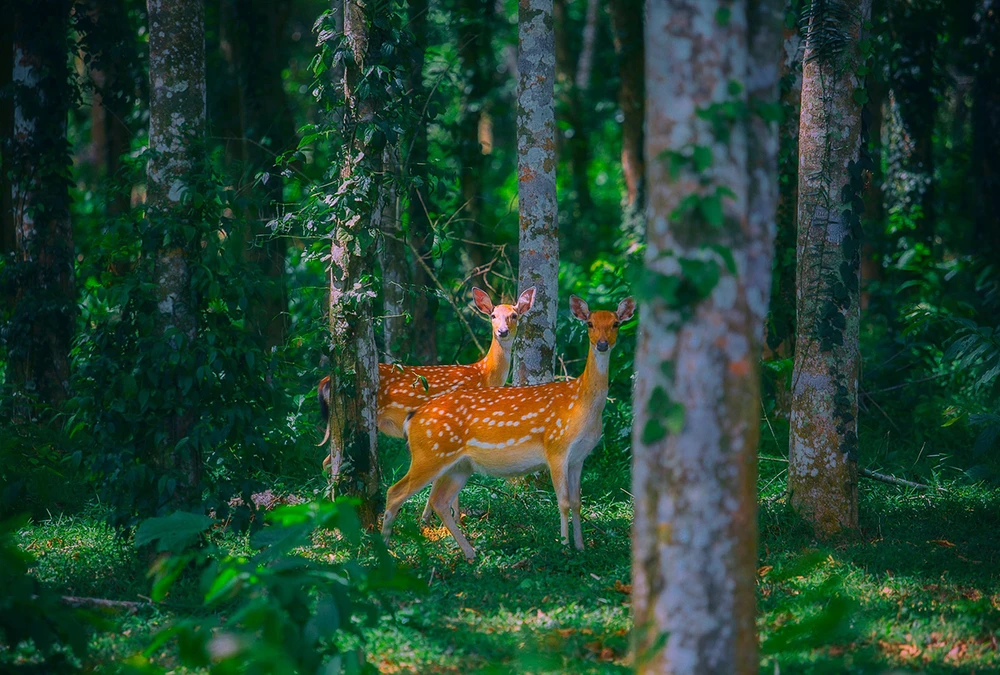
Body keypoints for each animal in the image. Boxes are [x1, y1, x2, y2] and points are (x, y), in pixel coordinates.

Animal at [378, 294, 636, 560]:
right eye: (590, 324)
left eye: (616, 323)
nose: (602, 344)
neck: (582, 405)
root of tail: (413, 417)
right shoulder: (556, 447)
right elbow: (563, 502)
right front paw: (564, 547)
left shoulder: (578, 457)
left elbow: (577, 502)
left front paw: (581, 546)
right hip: (429, 454)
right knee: (395, 492)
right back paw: (385, 549)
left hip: (459, 464)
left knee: (440, 500)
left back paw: (469, 552)